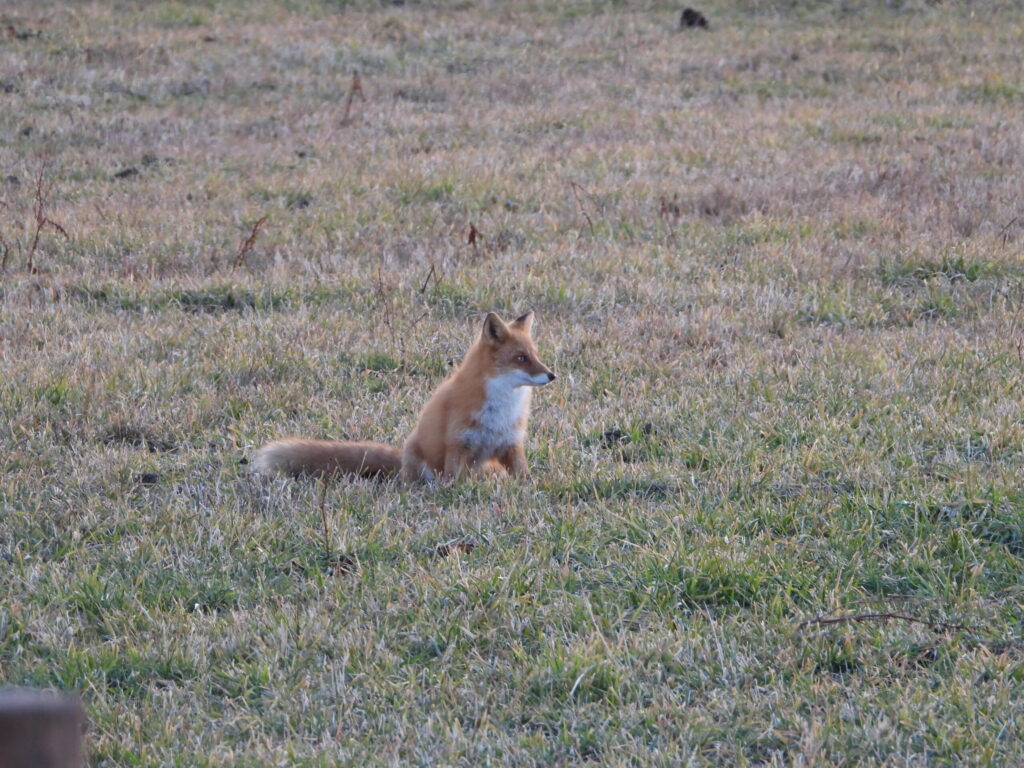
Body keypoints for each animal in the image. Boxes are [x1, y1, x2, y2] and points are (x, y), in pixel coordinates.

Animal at [253, 311, 556, 483]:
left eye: (535, 355)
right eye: (520, 358)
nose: (552, 375)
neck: (502, 406)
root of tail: (401, 461)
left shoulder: (511, 444)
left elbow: (526, 478)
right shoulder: (458, 444)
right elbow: (454, 482)